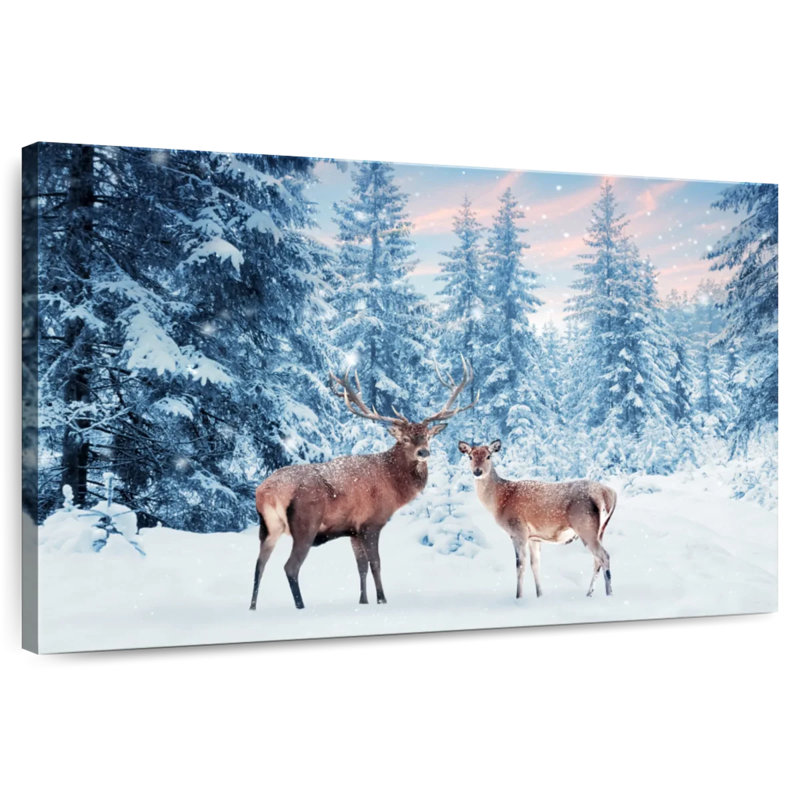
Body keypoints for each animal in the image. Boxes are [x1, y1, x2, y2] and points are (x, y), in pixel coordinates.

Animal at [250, 357, 479, 611]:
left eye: (428, 436)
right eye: (405, 438)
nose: (423, 452)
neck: (393, 486)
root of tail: (265, 492)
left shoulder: (353, 530)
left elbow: (360, 567)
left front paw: (363, 601)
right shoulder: (372, 523)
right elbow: (375, 563)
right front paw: (382, 599)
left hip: (268, 527)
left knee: (258, 565)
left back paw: (252, 607)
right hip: (305, 524)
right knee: (290, 567)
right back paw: (301, 607)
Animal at [457, 439, 617, 600]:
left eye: (488, 456)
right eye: (470, 456)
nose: (477, 471)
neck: (499, 500)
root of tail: (609, 493)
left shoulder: (518, 530)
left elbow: (520, 565)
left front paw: (519, 597)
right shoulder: (534, 537)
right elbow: (535, 565)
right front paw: (539, 595)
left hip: (585, 525)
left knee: (604, 556)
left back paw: (609, 594)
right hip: (600, 530)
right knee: (597, 560)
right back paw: (589, 594)